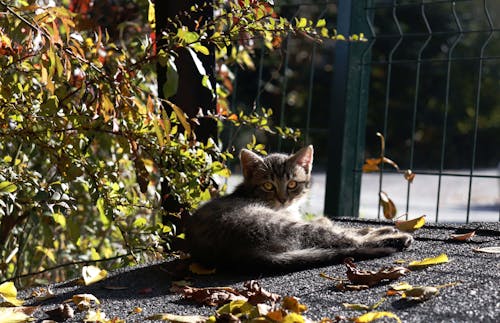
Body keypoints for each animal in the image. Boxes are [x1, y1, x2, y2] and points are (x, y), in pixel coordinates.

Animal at [186, 146, 412, 272]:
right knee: (348, 241)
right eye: (268, 186)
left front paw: (369, 228)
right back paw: (396, 237)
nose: (283, 199)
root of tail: (238, 255)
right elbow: (342, 229)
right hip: (286, 227)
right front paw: (376, 230)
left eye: (292, 184)